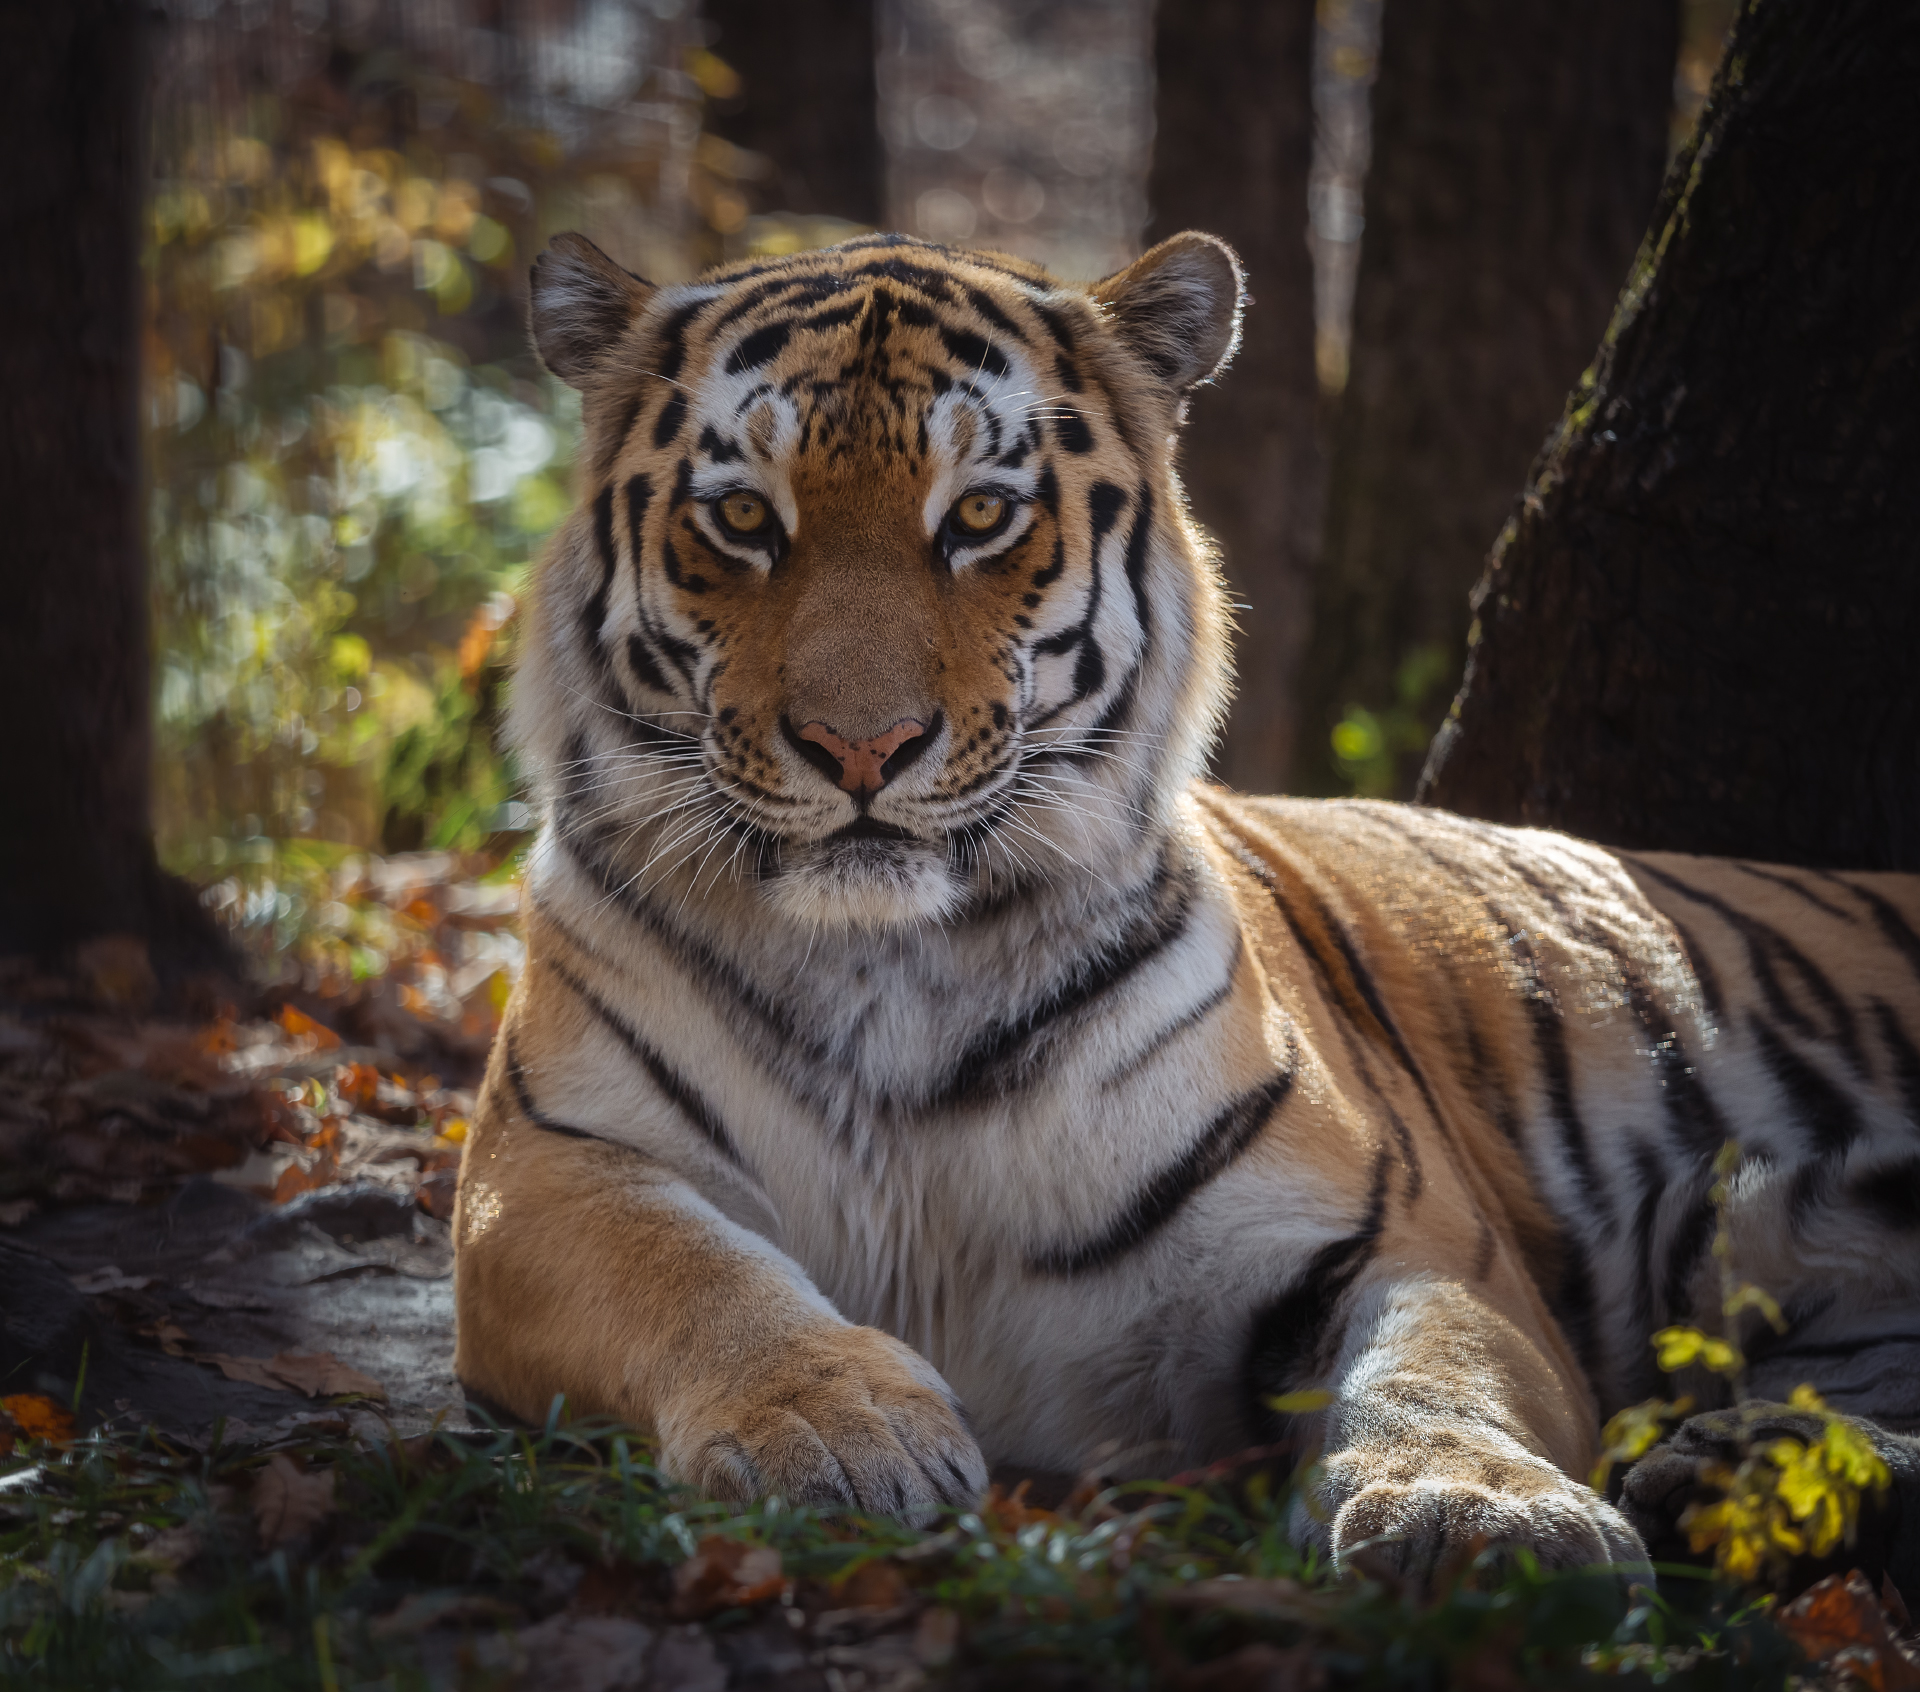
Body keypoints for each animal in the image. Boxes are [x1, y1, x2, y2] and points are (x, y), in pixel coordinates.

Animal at [445, 227, 1920, 1582]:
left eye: (978, 517)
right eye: (746, 519)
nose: (862, 750)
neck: (890, 969)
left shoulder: (1411, 1232)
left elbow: (1433, 1367)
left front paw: (1482, 1514)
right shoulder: (546, 1170)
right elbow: (698, 1276)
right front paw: (837, 1431)